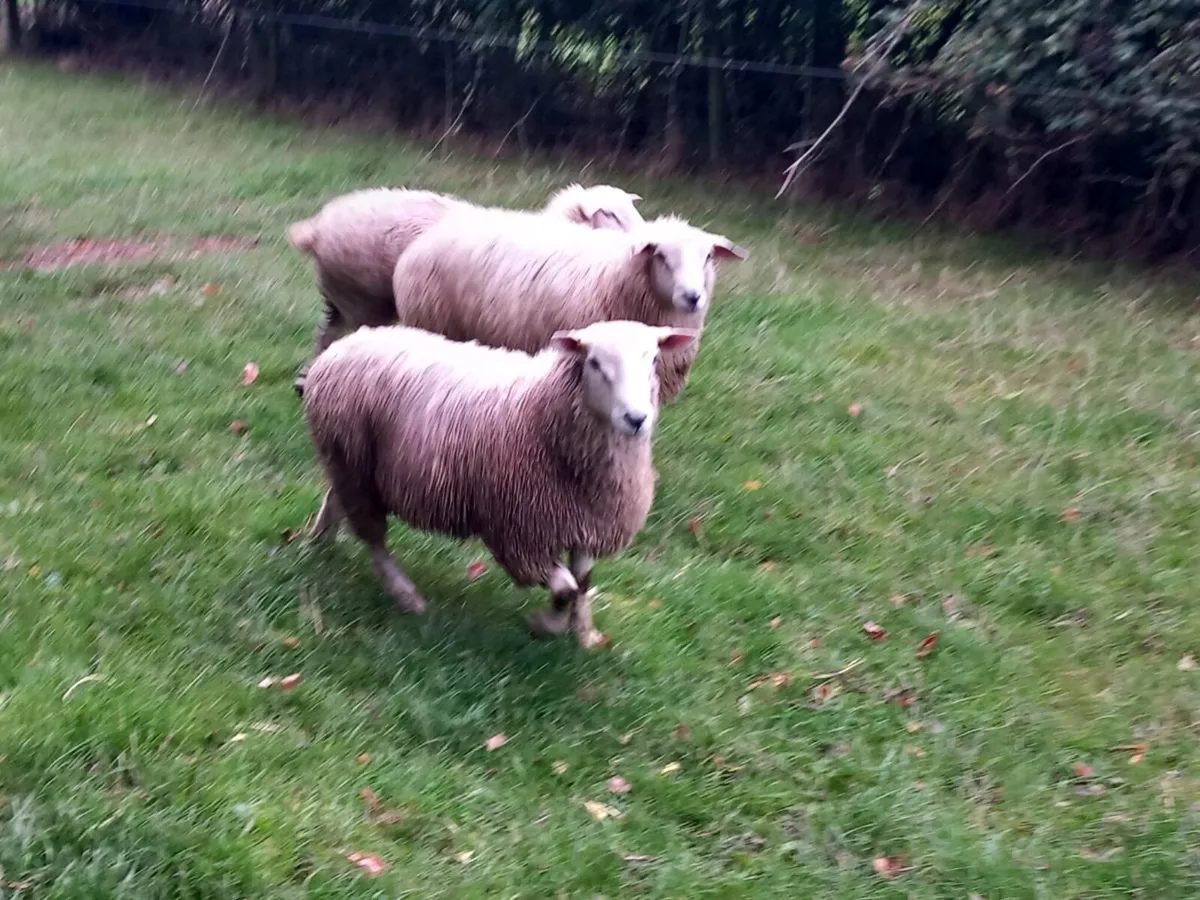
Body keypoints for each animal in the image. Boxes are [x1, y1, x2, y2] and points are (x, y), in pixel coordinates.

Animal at [286, 183, 644, 393]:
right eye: (609, 214)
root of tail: (316, 230)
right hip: (363, 302)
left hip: (344, 297)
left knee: (326, 333)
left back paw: (305, 381)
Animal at [302, 318, 696, 649]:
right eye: (595, 363)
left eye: (654, 360)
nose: (636, 419)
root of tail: (346, 343)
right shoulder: (522, 534)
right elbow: (566, 588)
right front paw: (545, 625)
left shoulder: (588, 522)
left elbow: (582, 584)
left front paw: (584, 634)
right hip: (355, 467)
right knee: (374, 538)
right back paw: (405, 595)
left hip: (351, 461)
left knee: (336, 498)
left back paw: (320, 540)